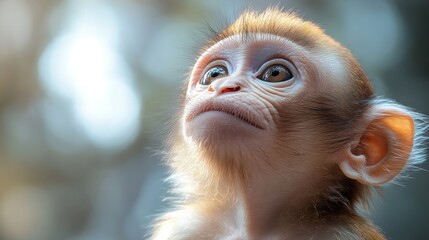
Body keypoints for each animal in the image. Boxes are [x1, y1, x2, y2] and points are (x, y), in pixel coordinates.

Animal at [149, 7, 426, 240]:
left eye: (276, 73)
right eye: (214, 74)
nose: (223, 85)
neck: (255, 224)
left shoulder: (343, 233)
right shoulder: (186, 227)